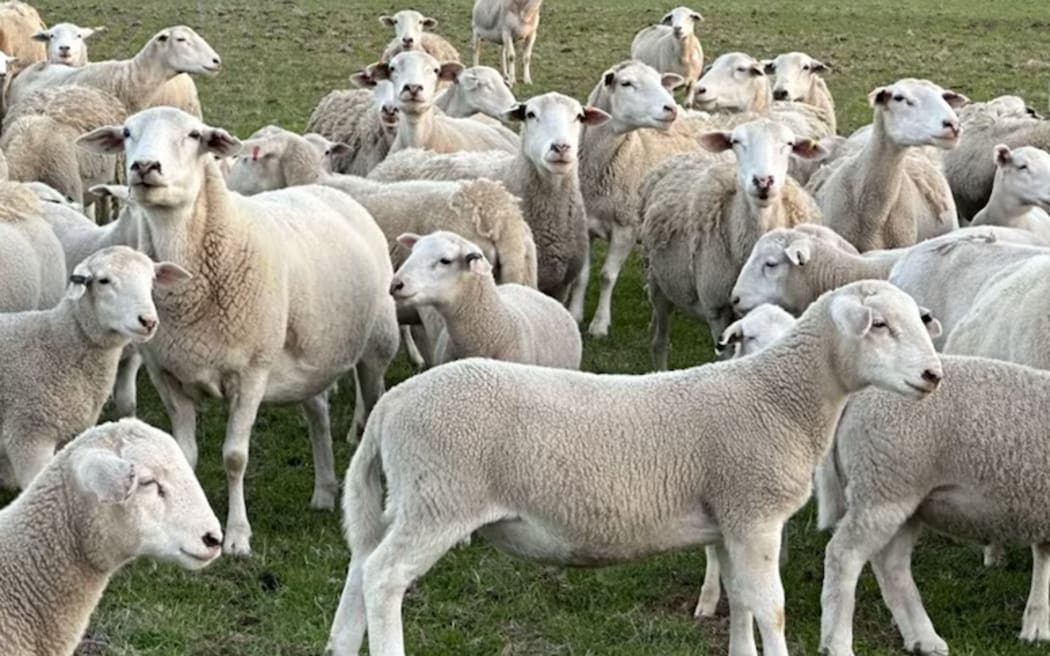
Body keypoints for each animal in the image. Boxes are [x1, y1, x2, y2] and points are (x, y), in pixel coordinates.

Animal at [79, 107, 401, 556]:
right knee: (317, 414)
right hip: (312, 357)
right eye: (127, 133)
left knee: (372, 404)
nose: (144, 167)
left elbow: (235, 457)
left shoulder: (251, 375)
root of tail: (327, 190)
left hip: (375, 347)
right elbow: (186, 455)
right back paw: (323, 490)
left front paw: (237, 537)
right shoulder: (168, 375)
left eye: (194, 135)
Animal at [325, 279, 944, 656]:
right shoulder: (754, 511)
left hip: (410, 501)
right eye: (880, 325)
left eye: (918, 321)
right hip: (440, 498)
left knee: (360, 567)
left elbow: (742, 601)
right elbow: (772, 609)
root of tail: (391, 406)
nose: (934, 376)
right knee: (383, 577)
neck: (778, 398)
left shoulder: (729, 519)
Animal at [568, 61, 702, 337]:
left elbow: (607, 276)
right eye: (626, 83)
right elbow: (582, 275)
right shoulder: (585, 224)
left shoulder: (626, 227)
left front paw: (599, 324)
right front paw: (574, 314)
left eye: (661, 82)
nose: (671, 109)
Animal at [639, 118, 825, 369]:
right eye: (736, 141)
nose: (763, 181)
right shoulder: (717, 310)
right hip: (658, 281)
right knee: (658, 340)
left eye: (789, 144)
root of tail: (684, 156)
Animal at [817, 355, 1050, 655]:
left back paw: (924, 639)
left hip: (902, 496)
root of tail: (857, 395)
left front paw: (1037, 626)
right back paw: (837, 644)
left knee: (891, 566)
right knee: (843, 557)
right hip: (884, 484)